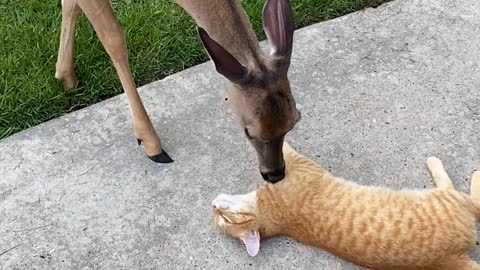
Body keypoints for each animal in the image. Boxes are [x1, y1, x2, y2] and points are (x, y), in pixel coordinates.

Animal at [55, 0, 300, 184]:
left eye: (294, 121)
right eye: (249, 132)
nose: (275, 174)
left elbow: (70, 3)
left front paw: (65, 76)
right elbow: (113, 37)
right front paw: (150, 143)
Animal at [213, 142, 480, 268]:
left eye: (222, 219)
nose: (213, 208)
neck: (268, 213)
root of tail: (449, 258)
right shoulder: (301, 165)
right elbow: (283, 147)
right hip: (448, 199)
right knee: (470, 199)